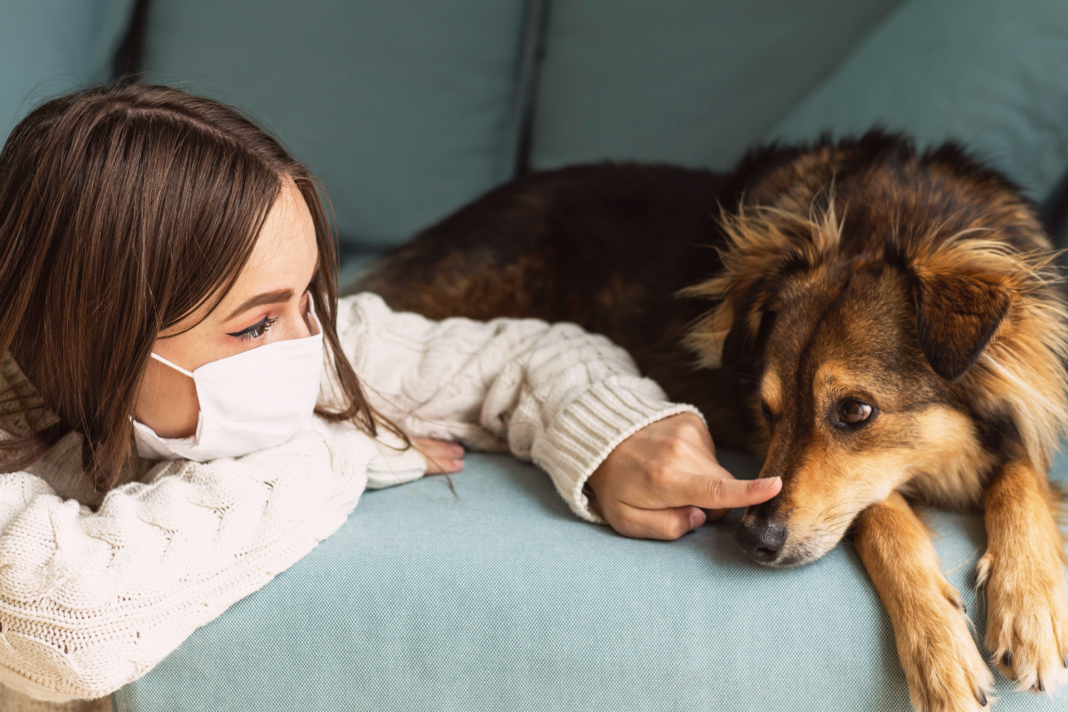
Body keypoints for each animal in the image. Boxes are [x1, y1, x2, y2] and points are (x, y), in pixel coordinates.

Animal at [356, 130, 1068, 708]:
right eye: (768, 408)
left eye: (857, 411)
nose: (753, 542)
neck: (889, 214)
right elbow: (882, 515)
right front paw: (938, 651)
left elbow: (1022, 480)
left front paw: (1031, 606)